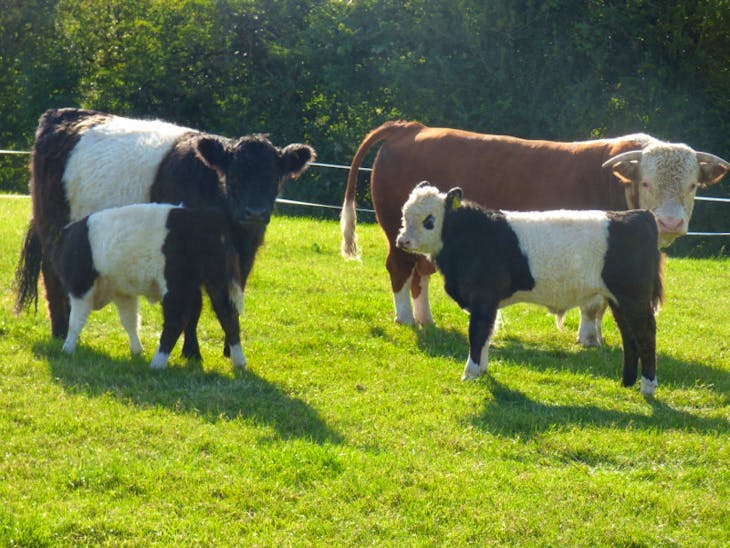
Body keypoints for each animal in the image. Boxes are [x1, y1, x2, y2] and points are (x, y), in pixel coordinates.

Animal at [52, 201, 245, 368]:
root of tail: (208, 217)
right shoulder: (123, 293)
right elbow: (130, 320)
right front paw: (137, 350)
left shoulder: (80, 287)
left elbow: (75, 321)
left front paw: (67, 349)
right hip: (218, 283)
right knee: (228, 315)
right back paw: (240, 362)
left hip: (177, 287)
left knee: (176, 321)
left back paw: (156, 364)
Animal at [342, 122, 728, 346]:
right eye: (646, 182)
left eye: (693, 185)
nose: (670, 223)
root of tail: (410, 128)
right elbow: (592, 304)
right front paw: (588, 339)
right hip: (401, 233)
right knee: (399, 268)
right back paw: (406, 317)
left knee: (421, 272)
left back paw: (425, 319)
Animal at [396, 183, 664, 394]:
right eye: (404, 215)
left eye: (429, 220)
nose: (402, 241)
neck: (468, 236)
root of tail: (639, 215)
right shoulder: (488, 302)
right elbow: (487, 335)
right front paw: (481, 371)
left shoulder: (483, 298)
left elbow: (478, 334)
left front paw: (469, 373)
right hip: (619, 300)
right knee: (629, 335)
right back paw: (627, 382)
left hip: (634, 298)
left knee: (645, 333)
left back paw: (647, 386)